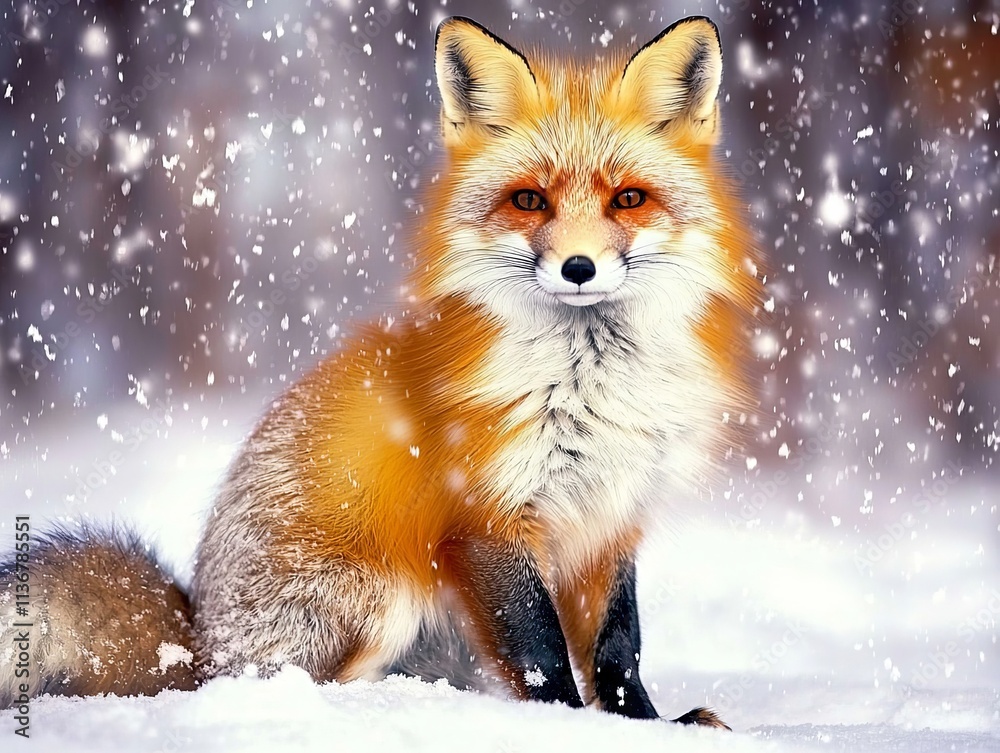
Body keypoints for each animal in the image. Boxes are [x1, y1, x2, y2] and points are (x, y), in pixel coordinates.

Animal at [0, 16, 761, 726]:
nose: (579, 267)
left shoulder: (611, 516)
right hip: (379, 598)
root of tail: (198, 644)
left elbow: (617, 646)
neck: (588, 387)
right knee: (310, 685)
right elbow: (541, 652)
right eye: (529, 200)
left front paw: (651, 725)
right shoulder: (489, 516)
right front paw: (562, 724)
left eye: (628, 199)